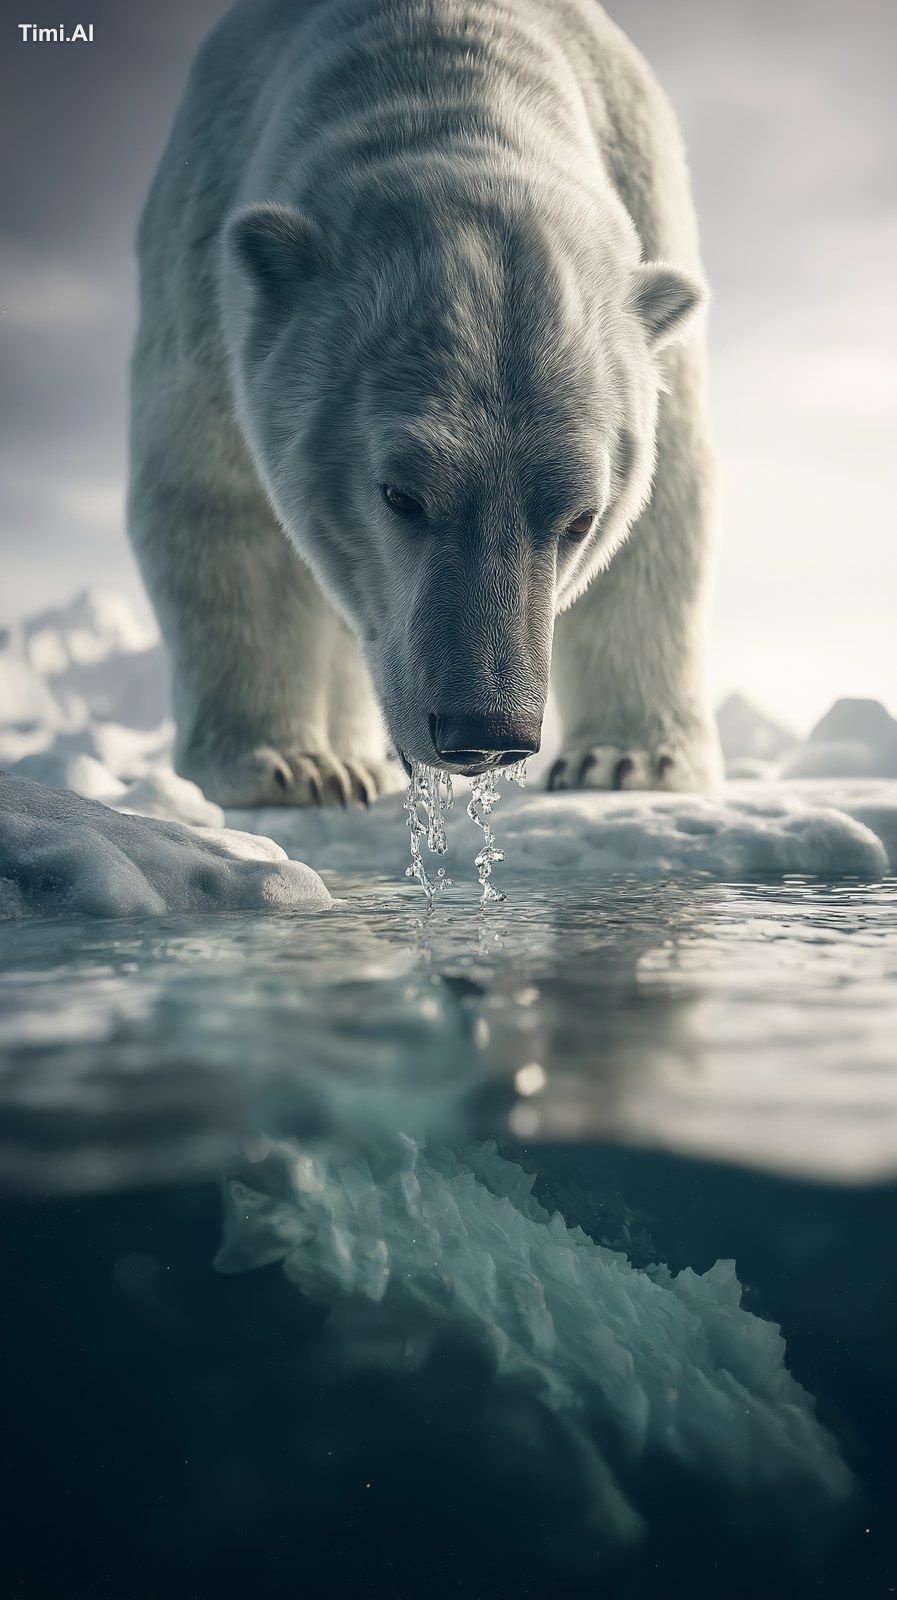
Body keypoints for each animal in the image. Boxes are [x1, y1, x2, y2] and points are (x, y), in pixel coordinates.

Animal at [128, 0, 722, 807]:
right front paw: (286, 766)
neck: (445, 57)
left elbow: (663, 513)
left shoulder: (645, 192)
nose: (485, 729)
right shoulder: (204, 262)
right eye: (399, 495)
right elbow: (215, 503)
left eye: (580, 517)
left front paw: (623, 760)